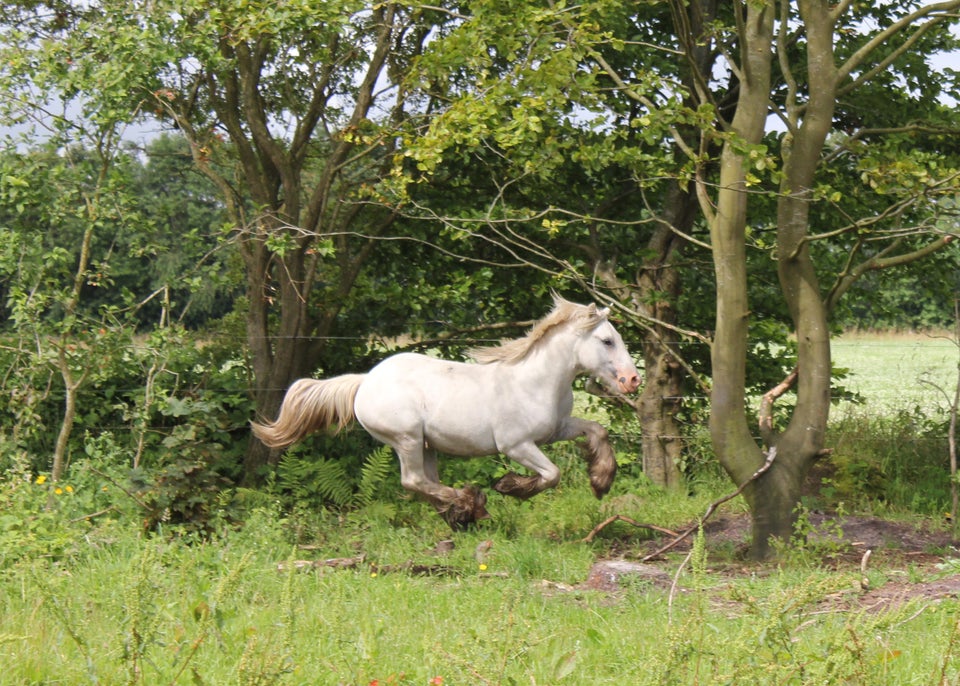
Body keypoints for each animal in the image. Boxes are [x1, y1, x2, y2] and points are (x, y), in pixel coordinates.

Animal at [251, 298, 640, 528]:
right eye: (607, 341)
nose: (633, 380)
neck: (536, 381)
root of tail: (364, 382)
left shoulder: (557, 429)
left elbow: (598, 431)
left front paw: (601, 480)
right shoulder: (517, 445)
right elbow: (552, 475)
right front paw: (511, 487)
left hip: (427, 445)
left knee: (426, 484)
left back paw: (461, 513)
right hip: (407, 439)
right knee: (413, 482)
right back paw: (470, 504)